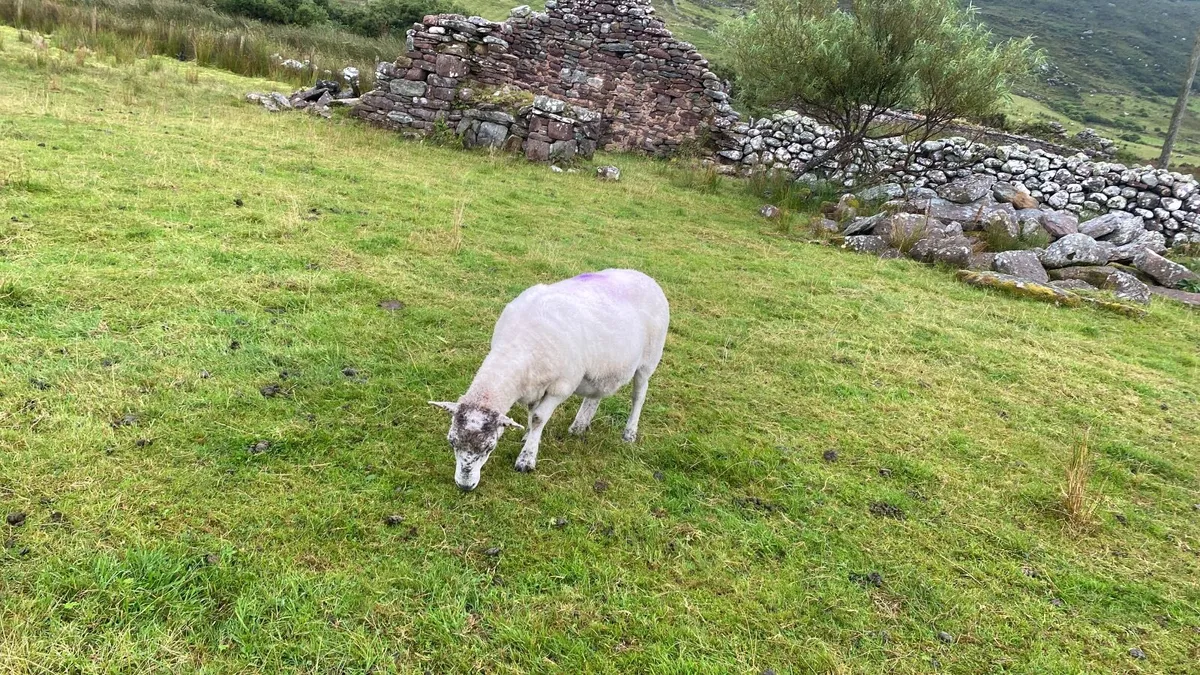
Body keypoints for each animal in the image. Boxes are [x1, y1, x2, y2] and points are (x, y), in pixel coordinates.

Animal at [430, 269, 670, 491]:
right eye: (451, 441)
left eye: (489, 447)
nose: (464, 486)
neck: (517, 348)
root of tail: (643, 275)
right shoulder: (533, 387)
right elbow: (531, 414)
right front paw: (528, 436)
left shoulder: (560, 387)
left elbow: (538, 418)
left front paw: (527, 459)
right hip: (604, 366)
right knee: (595, 395)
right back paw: (579, 426)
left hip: (648, 361)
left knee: (638, 396)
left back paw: (629, 433)